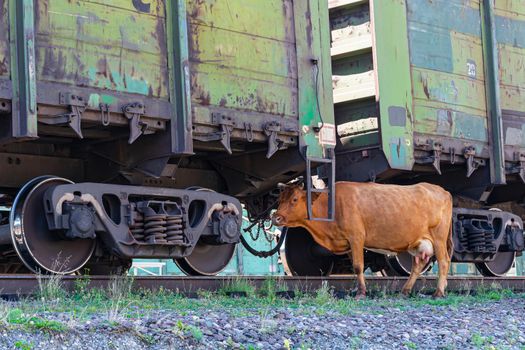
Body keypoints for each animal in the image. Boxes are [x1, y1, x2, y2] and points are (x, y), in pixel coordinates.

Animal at [272, 180, 452, 298]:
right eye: (279, 200)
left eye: (294, 199)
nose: (276, 218)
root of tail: (442, 190)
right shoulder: (348, 244)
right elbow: (355, 267)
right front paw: (358, 289)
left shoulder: (356, 237)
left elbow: (358, 266)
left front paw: (360, 292)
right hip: (418, 243)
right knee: (417, 266)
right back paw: (405, 291)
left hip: (439, 238)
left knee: (444, 261)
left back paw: (438, 292)